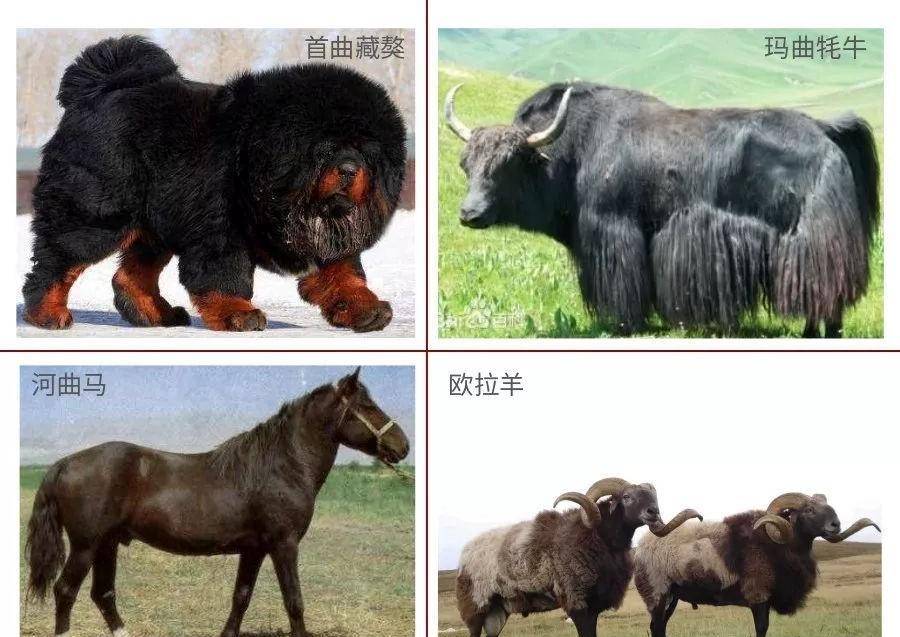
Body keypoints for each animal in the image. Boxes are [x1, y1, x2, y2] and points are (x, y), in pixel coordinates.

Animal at [25, 367, 410, 637]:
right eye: (367, 406)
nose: (403, 445)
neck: (281, 465)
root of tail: (64, 463)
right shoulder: (283, 545)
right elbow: (294, 602)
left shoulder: (254, 549)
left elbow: (241, 596)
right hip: (86, 546)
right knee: (65, 591)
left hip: (107, 543)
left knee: (103, 594)